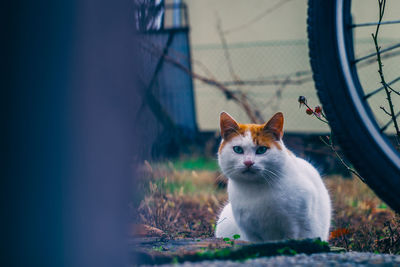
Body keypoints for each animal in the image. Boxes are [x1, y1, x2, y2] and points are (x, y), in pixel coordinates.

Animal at [216, 111, 332, 243]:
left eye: (262, 149)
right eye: (238, 149)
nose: (248, 162)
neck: (255, 190)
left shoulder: (294, 227)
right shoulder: (249, 232)